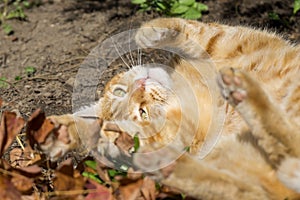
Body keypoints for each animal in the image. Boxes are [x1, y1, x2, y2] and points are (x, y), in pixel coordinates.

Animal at [41, 18, 298, 199]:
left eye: (120, 92)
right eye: (141, 112)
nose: (139, 86)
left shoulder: (225, 41)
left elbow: (196, 29)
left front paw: (148, 31)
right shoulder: (192, 135)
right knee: (256, 184)